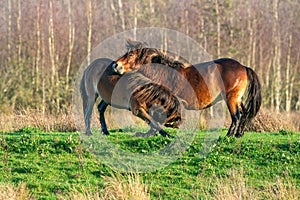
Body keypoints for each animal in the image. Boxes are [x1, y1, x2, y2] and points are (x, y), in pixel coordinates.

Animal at [113, 45, 262, 138]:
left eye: (130, 54)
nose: (116, 65)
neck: (164, 74)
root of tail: (243, 67)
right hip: (238, 99)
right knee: (244, 113)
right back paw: (239, 134)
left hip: (231, 98)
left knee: (236, 116)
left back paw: (229, 135)